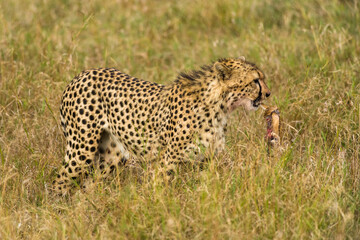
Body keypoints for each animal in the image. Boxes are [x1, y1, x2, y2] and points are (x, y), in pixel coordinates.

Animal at [53, 57, 270, 194]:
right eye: (255, 81)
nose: (268, 94)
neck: (219, 106)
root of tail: (82, 74)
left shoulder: (206, 160)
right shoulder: (168, 159)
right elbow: (163, 189)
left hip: (112, 157)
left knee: (89, 184)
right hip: (82, 148)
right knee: (60, 179)